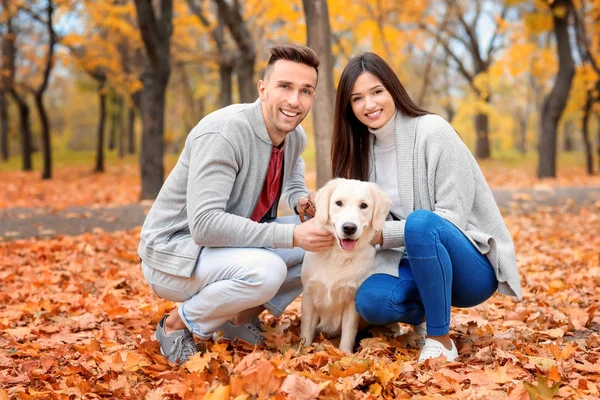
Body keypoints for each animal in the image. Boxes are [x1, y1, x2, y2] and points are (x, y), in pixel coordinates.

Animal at [300, 178, 394, 354]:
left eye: (364, 205)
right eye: (338, 203)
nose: (349, 228)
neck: (338, 255)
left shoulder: (352, 299)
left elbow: (348, 332)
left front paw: (345, 355)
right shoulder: (309, 295)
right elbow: (306, 332)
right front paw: (301, 352)